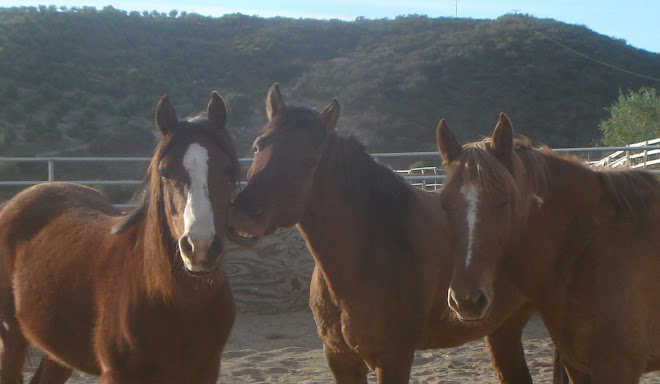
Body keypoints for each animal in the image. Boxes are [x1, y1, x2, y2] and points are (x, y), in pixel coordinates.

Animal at [0, 91, 240, 382]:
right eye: (164, 171)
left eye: (227, 170)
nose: (200, 248)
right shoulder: (117, 374)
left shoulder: (206, 370)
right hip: (11, 336)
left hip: (58, 352)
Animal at [226, 84, 548, 384]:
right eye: (257, 146)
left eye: (309, 160)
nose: (244, 213)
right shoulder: (340, 359)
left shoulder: (393, 359)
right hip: (503, 327)